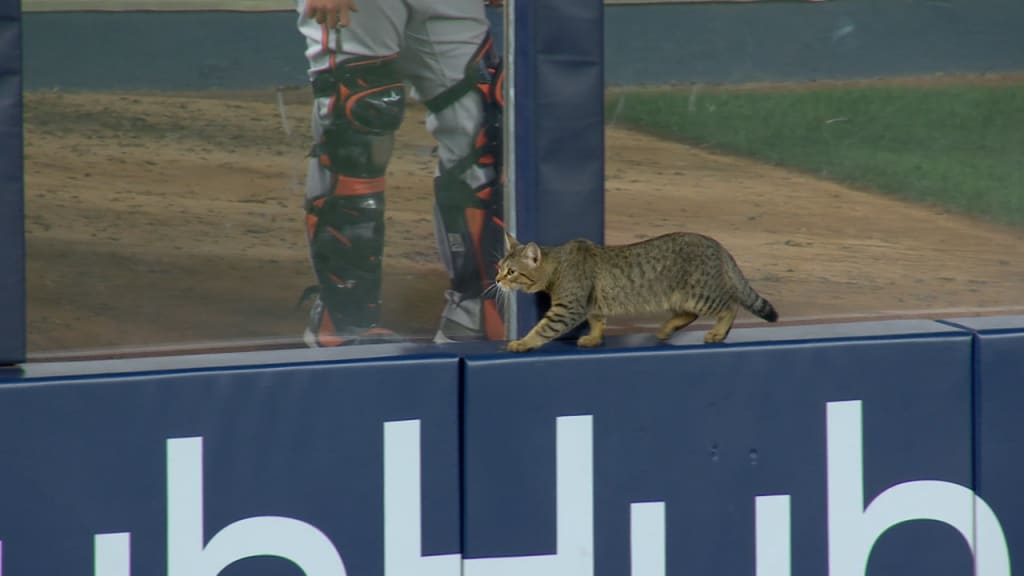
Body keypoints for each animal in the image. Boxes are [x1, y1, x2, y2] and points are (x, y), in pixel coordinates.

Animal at [495, 230, 774, 352]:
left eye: (511, 272)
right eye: (499, 267)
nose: (497, 280)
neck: (559, 264)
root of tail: (716, 244)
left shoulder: (567, 309)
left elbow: (542, 329)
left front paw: (522, 342)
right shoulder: (592, 305)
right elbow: (597, 322)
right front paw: (594, 338)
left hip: (701, 294)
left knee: (730, 305)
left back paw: (718, 332)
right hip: (682, 297)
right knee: (690, 314)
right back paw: (666, 328)